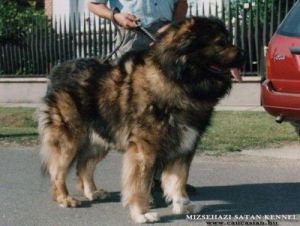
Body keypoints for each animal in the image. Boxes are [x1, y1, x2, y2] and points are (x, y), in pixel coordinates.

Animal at [38, 16, 245, 223]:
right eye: (220, 42)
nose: (243, 53)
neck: (177, 79)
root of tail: (58, 70)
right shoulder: (144, 148)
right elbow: (140, 184)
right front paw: (142, 212)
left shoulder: (184, 145)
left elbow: (178, 179)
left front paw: (183, 205)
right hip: (70, 140)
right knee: (57, 171)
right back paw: (64, 198)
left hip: (98, 141)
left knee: (84, 166)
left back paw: (92, 192)